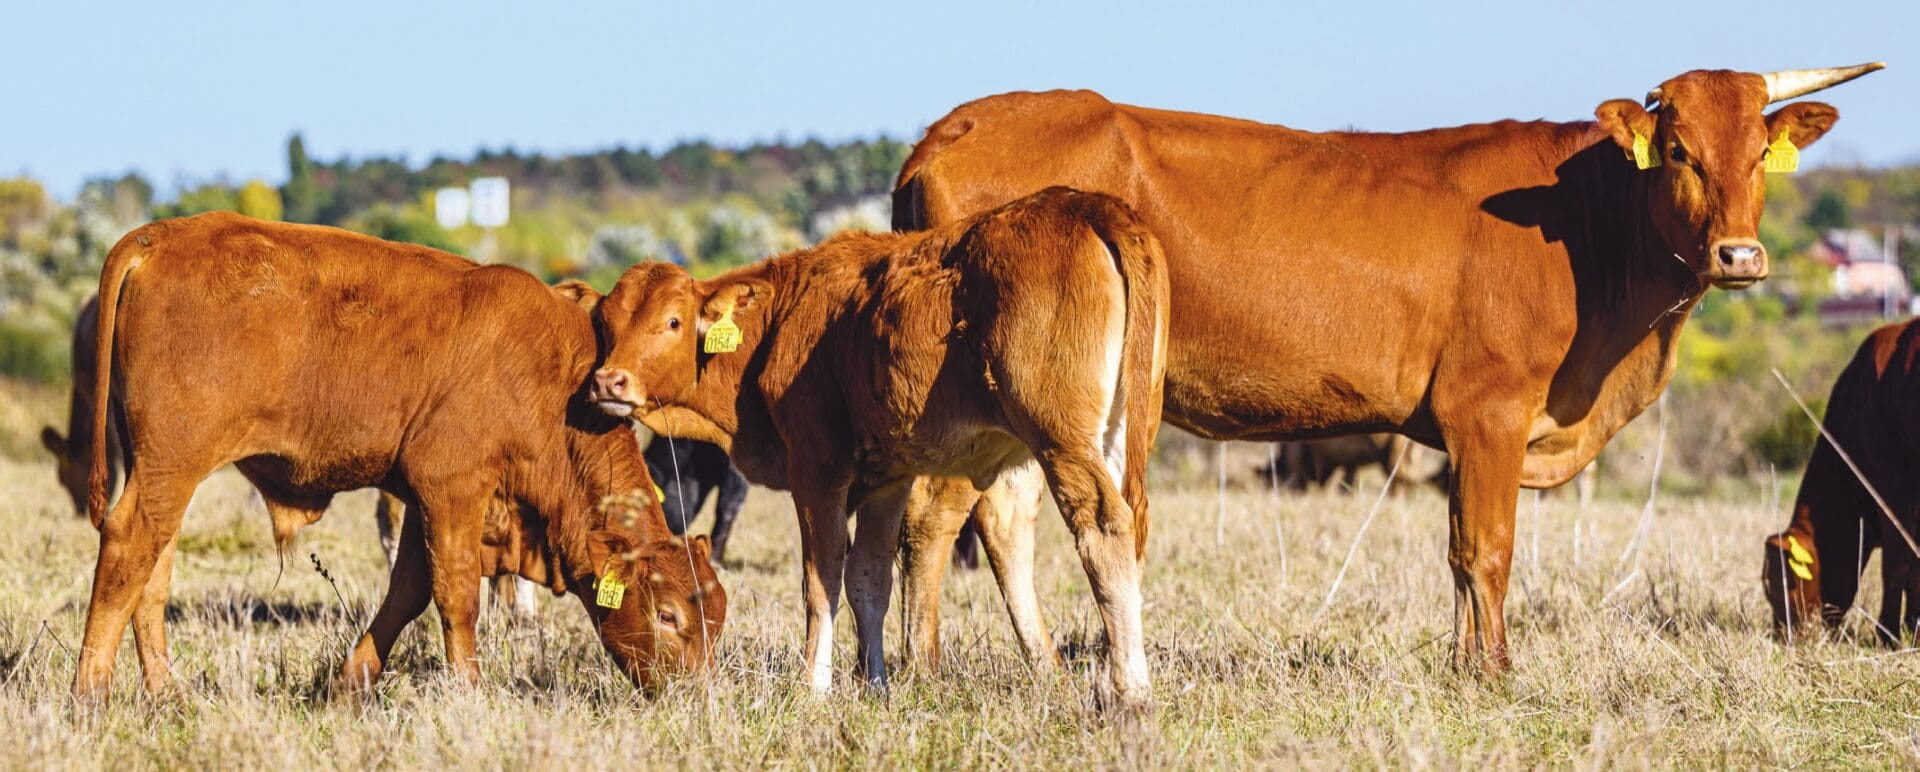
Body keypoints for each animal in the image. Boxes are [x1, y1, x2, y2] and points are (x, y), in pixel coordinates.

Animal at [71, 212, 721, 699]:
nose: (696, 695)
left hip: (161, 473)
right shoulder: (452, 490)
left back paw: (165, 696)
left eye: (715, 618)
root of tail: (161, 236)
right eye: (668, 615)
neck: (551, 381)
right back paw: (91, 696)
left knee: (152, 570)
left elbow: (406, 592)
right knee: (128, 549)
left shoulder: (426, 503)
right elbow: (456, 599)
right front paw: (470, 694)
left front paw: (350, 688)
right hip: (171, 465)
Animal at [583, 190, 1159, 710]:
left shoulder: (817, 471)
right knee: (1026, 538)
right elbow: (870, 578)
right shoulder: (888, 478)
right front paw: (875, 683)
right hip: (1095, 441)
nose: (610, 381)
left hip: (1060, 440)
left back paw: (1130, 689)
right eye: (607, 326)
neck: (783, 319)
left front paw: (814, 688)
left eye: (673, 322)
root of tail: (1086, 205)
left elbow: (821, 581)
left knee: (1104, 530)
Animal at [890, 63, 1881, 672]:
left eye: (1758, 156)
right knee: (936, 514)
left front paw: (1463, 666)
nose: (1739, 256)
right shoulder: (1490, 413)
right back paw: (922, 670)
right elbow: (1487, 551)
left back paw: (1038, 668)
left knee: (997, 521)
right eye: (1679, 150)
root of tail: (949, 128)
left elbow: (1458, 555)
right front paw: (1495, 673)